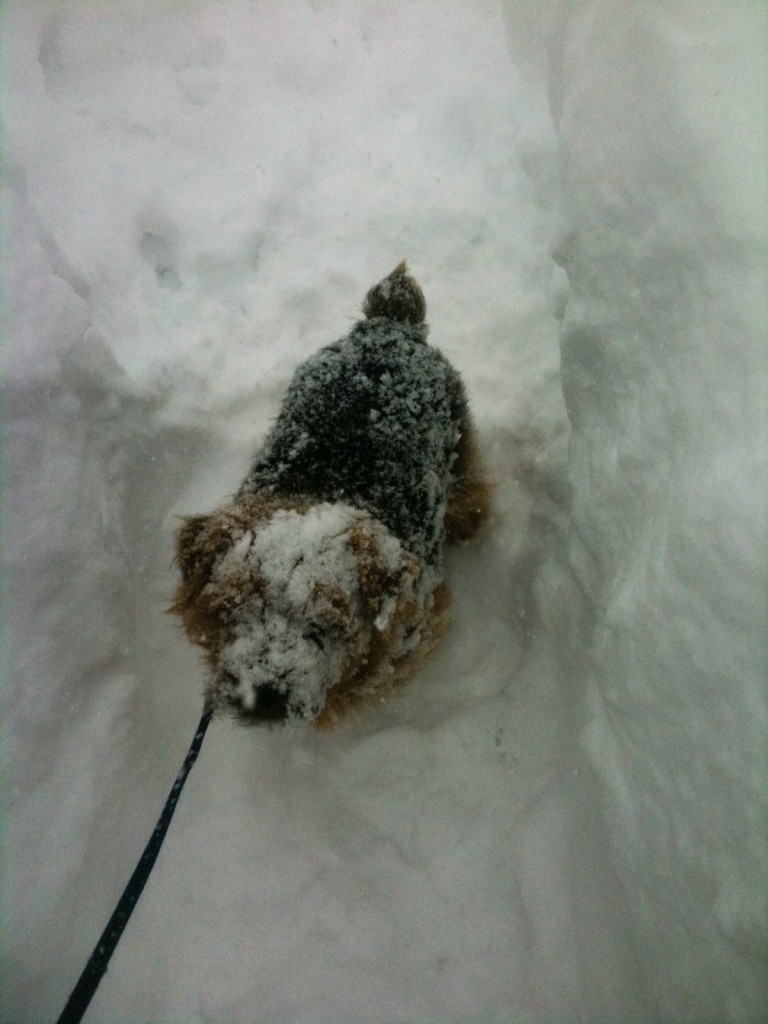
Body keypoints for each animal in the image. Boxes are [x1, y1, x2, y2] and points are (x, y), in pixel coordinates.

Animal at [171, 264, 489, 729]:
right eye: (233, 606)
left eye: (326, 622)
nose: (261, 694)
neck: (322, 491)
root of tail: (389, 323)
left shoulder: (417, 625)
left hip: (458, 437)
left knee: (470, 485)